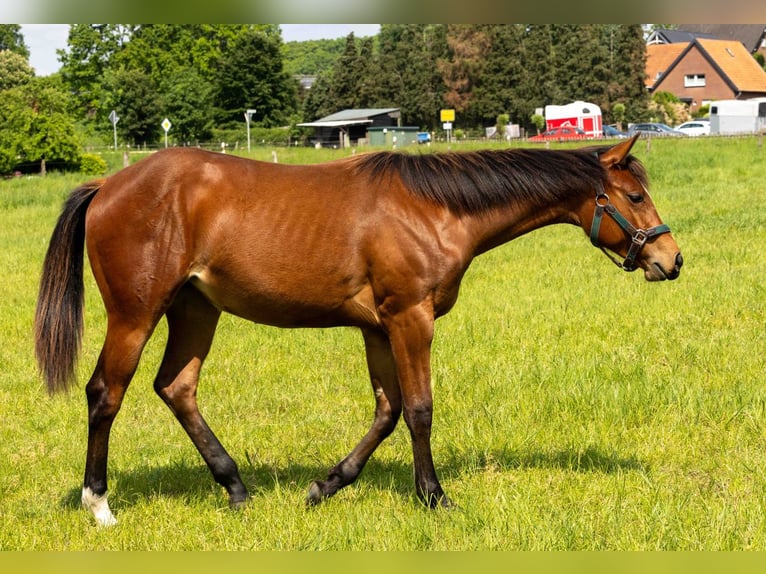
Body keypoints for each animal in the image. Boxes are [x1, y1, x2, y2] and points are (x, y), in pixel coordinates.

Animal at [35, 134, 682, 526]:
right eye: (634, 195)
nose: (671, 259)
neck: (435, 208)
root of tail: (108, 186)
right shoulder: (409, 318)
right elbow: (419, 409)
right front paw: (433, 495)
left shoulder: (377, 328)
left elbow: (387, 411)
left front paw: (327, 485)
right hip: (135, 315)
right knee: (105, 394)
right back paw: (99, 504)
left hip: (196, 310)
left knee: (177, 387)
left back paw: (235, 487)